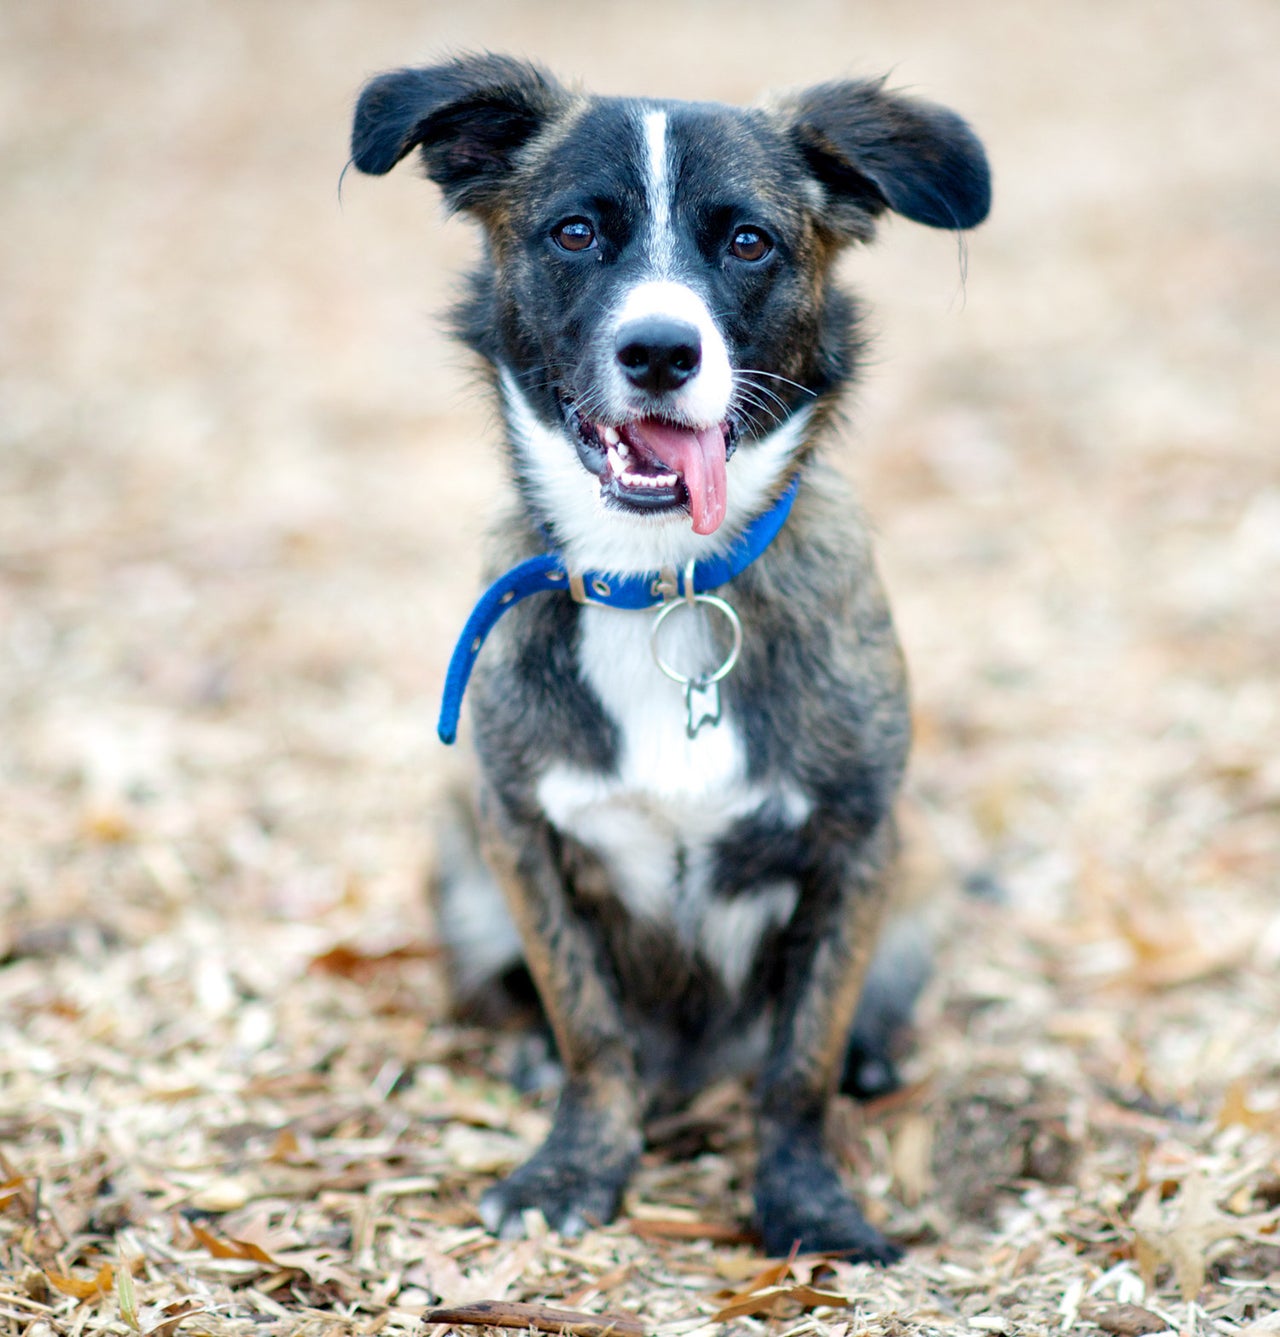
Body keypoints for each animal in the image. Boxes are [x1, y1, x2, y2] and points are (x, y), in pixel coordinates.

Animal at [350, 54, 989, 1262]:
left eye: (747, 241)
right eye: (574, 232)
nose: (659, 351)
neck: (662, 582)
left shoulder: (855, 843)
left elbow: (796, 1065)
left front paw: (808, 1201)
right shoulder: (518, 832)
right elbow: (591, 1028)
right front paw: (576, 1165)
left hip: (921, 867)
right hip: (455, 849)